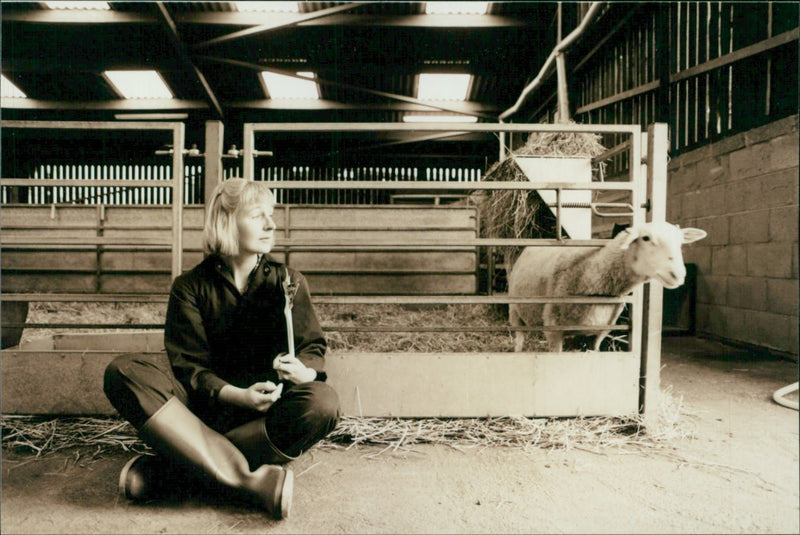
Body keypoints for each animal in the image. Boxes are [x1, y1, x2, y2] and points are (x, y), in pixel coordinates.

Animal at [506, 221, 708, 352]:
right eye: (645, 238)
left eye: (681, 242)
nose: (678, 274)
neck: (590, 274)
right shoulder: (553, 330)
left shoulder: (601, 332)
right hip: (514, 309)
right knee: (519, 338)